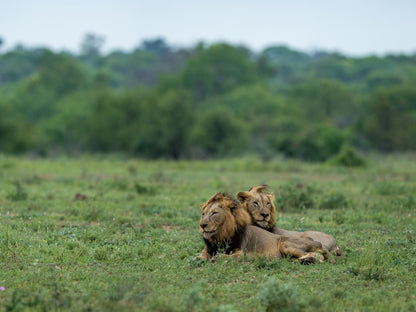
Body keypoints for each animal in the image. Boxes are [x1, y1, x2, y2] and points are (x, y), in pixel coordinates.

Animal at [198, 193, 328, 264]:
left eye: (214, 213)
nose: (202, 225)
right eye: (203, 214)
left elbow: (225, 256)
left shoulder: (242, 253)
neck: (220, 237)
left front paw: (216, 258)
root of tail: (318, 242)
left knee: (316, 256)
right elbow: (201, 256)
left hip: (285, 244)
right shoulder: (208, 249)